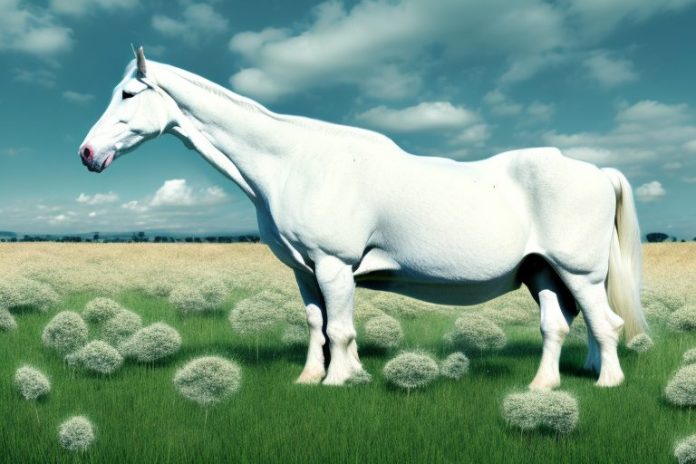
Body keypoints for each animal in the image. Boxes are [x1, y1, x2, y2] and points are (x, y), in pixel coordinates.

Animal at [79, 47, 646, 389]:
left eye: (128, 94)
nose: (87, 153)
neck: (295, 162)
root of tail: (597, 171)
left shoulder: (334, 264)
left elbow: (340, 328)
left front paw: (338, 381)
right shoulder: (306, 271)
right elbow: (319, 324)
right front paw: (317, 378)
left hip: (580, 273)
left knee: (606, 324)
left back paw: (608, 383)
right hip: (542, 273)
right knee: (558, 326)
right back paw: (542, 386)